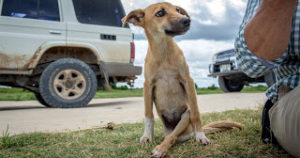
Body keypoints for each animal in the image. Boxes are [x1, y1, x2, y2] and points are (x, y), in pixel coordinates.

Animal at [122, 2, 244, 158]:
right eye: (160, 13)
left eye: (178, 10)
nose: (187, 20)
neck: (164, 52)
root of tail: (188, 133)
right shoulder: (147, 85)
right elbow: (148, 115)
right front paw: (147, 136)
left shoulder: (188, 81)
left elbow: (196, 112)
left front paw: (201, 136)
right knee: (170, 136)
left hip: (185, 117)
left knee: (173, 137)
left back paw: (163, 148)